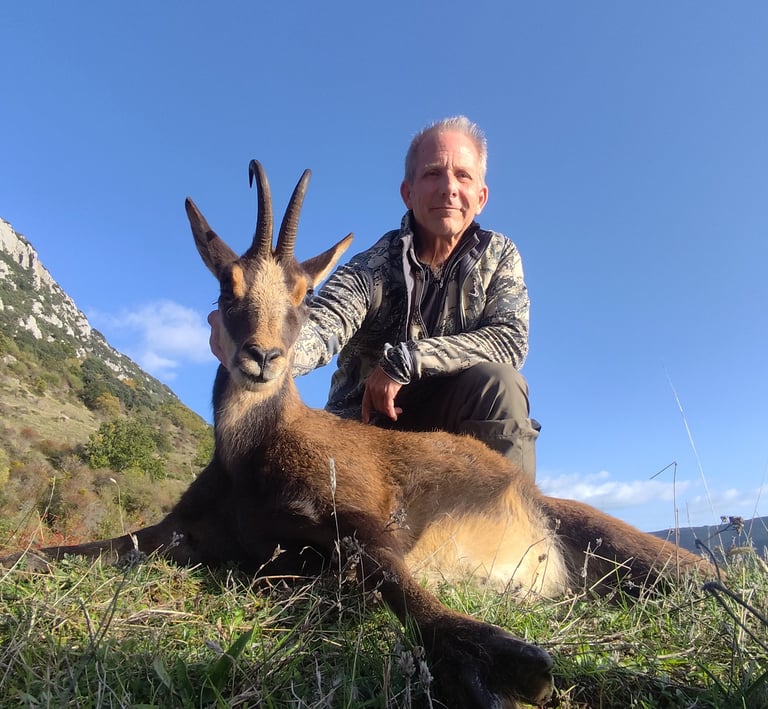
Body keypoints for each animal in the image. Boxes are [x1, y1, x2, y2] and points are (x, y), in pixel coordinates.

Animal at [5, 161, 707, 708]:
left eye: (302, 293)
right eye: (227, 288)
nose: (262, 358)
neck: (250, 460)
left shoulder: (360, 511)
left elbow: (389, 574)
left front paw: (493, 663)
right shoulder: (182, 532)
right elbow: (71, 552)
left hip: (632, 549)